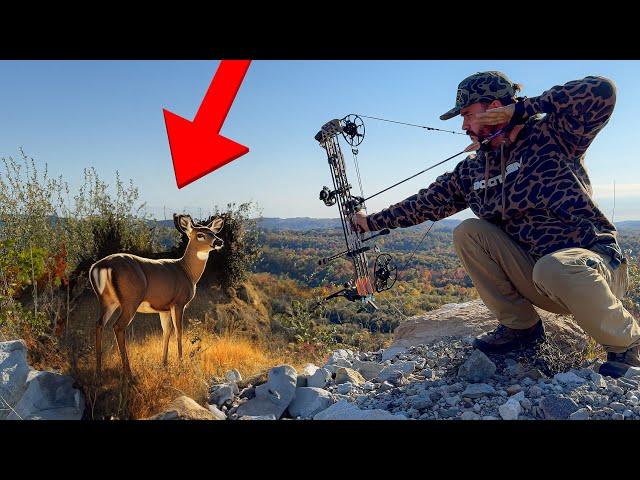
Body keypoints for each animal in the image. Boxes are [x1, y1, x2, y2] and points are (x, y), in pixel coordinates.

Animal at [87, 214, 222, 378]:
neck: (187, 272)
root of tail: (100, 266)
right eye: (200, 234)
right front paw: (180, 363)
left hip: (107, 300)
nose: (219, 241)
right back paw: (128, 372)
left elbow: (166, 331)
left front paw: (164, 363)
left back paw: (98, 370)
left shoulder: (164, 308)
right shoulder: (178, 302)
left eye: (213, 233)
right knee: (118, 326)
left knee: (99, 323)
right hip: (130, 300)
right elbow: (179, 331)